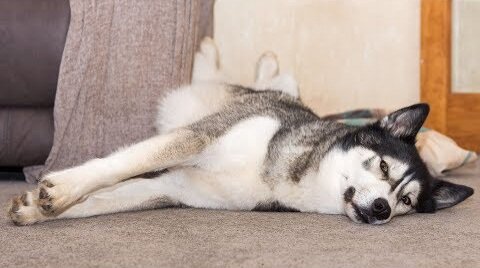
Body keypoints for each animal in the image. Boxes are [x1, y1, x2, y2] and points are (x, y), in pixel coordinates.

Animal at [6, 37, 472, 225]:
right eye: (383, 167)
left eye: (406, 201)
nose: (381, 209)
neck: (281, 174)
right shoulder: (196, 139)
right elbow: (115, 168)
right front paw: (63, 190)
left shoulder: (171, 187)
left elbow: (104, 199)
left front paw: (35, 209)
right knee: (250, 78)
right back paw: (223, 51)